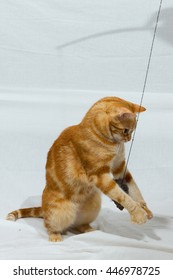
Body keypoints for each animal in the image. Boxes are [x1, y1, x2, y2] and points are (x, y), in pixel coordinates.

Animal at [6, 96, 153, 241]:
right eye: (126, 130)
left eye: (132, 131)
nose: (129, 139)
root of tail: (43, 207)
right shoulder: (100, 175)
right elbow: (122, 196)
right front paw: (138, 213)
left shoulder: (119, 167)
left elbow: (134, 189)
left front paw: (145, 208)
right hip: (59, 212)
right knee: (49, 224)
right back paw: (55, 236)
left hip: (93, 206)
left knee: (78, 225)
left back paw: (89, 230)